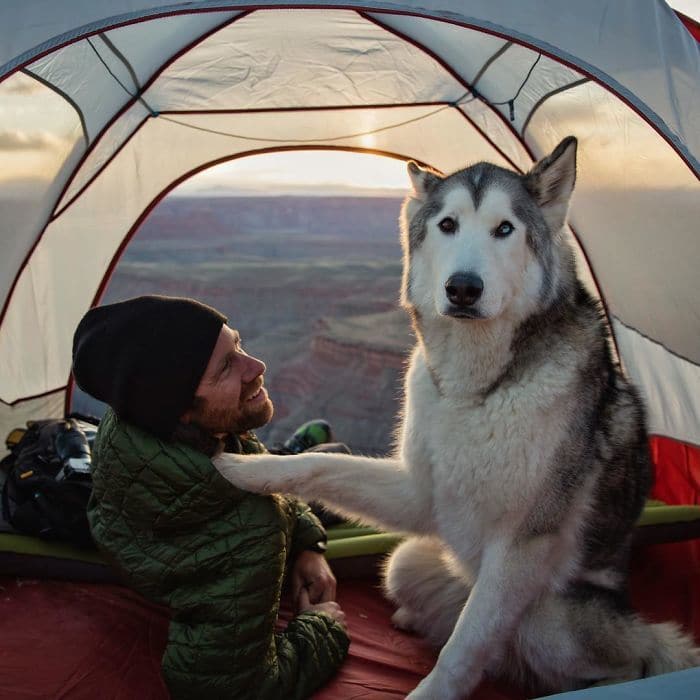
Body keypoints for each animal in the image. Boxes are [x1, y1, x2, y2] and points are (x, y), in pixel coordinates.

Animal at [213, 138, 700, 700]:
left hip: (549, 618)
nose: (463, 288)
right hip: (407, 561)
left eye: (505, 228)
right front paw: (244, 469)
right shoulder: (419, 492)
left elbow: (464, 647)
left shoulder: (524, 543)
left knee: (635, 657)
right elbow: (319, 467)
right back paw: (412, 618)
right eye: (448, 225)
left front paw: (430, 691)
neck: (477, 391)